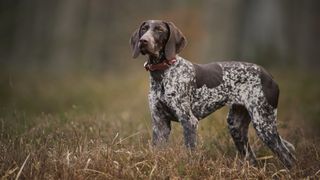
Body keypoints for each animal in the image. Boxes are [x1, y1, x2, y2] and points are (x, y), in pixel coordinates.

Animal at [129, 19, 296, 169]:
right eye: (144, 29)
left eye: (159, 30)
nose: (143, 41)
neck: (162, 73)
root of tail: (269, 76)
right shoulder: (160, 124)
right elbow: (157, 151)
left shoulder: (189, 121)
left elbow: (190, 153)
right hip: (236, 126)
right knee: (252, 159)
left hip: (264, 124)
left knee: (287, 156)